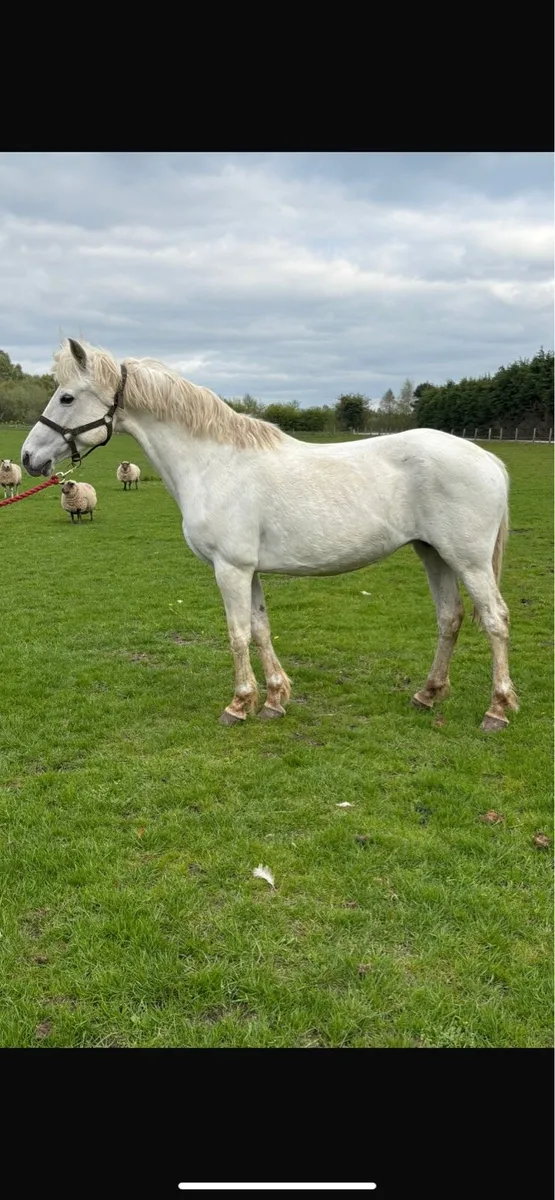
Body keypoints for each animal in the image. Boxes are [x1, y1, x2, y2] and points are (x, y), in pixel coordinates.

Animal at [21, 338, 519, 732]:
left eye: (67, 397)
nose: (28, 458)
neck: (213, 463)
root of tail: (488, 459)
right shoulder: (250, 570)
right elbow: (261, 629)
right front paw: (275, 699)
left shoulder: (230, 569)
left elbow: (237, 632)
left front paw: (239, 704)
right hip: (433, 553)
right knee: (450, 617)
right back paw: (428, 694)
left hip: (468, 560)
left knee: (494, 619)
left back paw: (496, 710)